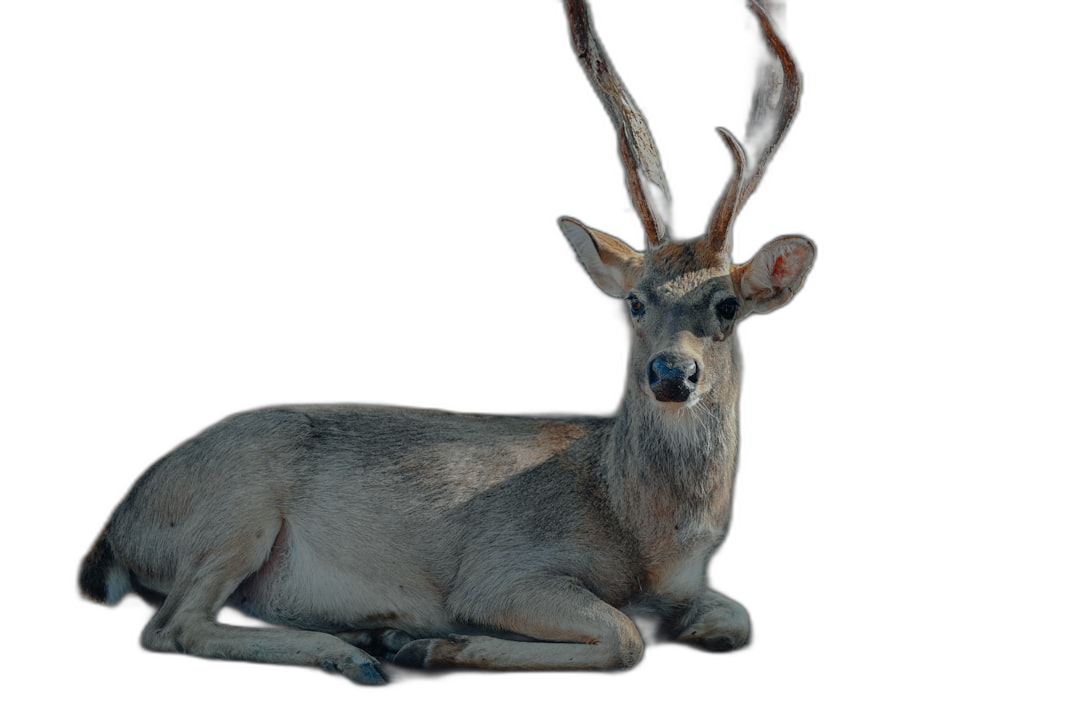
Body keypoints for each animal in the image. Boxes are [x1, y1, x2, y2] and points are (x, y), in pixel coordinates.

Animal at [78, 0, 812, 686]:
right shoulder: (503, 569)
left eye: (728, 305)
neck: (645, 536)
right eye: (635, 302)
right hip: (235, 503)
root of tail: (115, 528)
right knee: (174, 625)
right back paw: (357, 653)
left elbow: (734, 620)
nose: (671, 373)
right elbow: (626, 638)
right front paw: (432, 646)